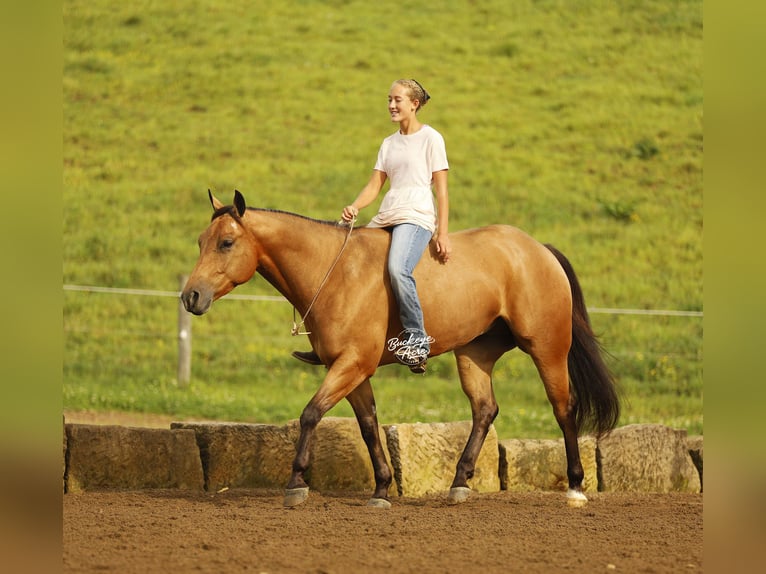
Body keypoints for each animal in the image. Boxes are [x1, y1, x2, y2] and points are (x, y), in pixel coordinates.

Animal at [181, 190, 620, 508]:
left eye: (226, 242)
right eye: (200, 241)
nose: (191, 296)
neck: (335, 272)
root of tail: (538, 250)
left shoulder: (351, 364)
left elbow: (310, 414)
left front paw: (296, 483)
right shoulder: (353, 370)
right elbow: (368, 425)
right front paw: (381, 488)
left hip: (547, 348)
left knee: (563, 408)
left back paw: (575, 488)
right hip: (474, 355)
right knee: (484, 410)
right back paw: (459, 483)